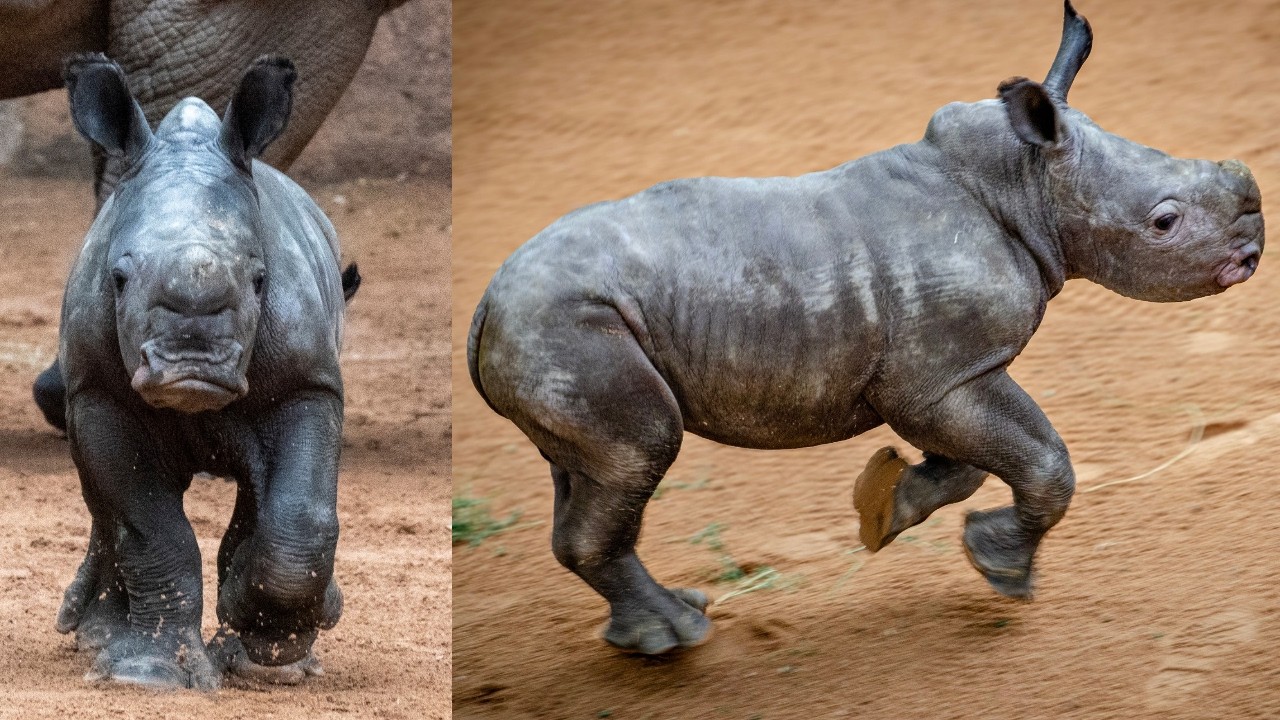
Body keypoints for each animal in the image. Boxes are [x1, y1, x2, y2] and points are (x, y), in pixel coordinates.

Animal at [53, 54, 355, 688]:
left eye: (261, 281)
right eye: (119, 278)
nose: (191, 366)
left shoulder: (309, 382)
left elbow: (300, 516)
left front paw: (263, 645)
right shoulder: (98, 393)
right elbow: (149, 527)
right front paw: (146, 674)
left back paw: (279, 650)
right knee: (101, 501)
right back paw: (96, 637)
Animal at [466, 2, 1264, 655]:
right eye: (1164, 223)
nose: (1254, 252)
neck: (1026, 180)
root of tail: (485, 304)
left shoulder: (937, 373)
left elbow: (976, 459)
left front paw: (885, 508)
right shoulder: (940, 375)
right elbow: (1044, 459)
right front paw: (1000, 571)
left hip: (556, 330)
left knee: (593, 470)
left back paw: (666, 622)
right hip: (568, 329)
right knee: (638, 452)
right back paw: (678, 638)